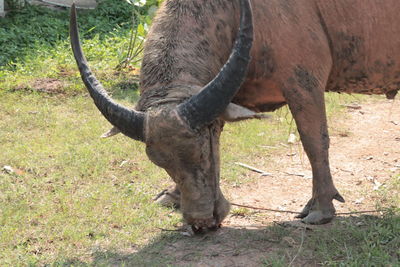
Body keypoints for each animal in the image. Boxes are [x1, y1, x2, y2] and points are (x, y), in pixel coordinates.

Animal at [70, 0, 398, 230]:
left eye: (204, 151)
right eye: (159, 161)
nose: (201, 222)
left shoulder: (303, 84)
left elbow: (314, 143)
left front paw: (320, 209)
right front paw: (173, 195)